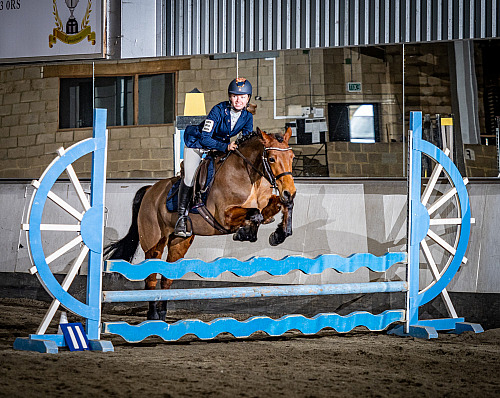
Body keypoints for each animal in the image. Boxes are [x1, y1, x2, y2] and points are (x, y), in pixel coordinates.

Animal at [103, 127, 294, 320]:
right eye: (271, 158)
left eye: (292, 156)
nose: (290, 191)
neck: (249, 176)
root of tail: (150, 190)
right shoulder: (224, 216)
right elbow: (255, 213)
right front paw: (246, 232)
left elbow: (277, 206)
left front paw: (278, 233)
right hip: (154, 244)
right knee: (151, 276)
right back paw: (153, 315)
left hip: (179, 242)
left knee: (167, 276)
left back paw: (162, 313)